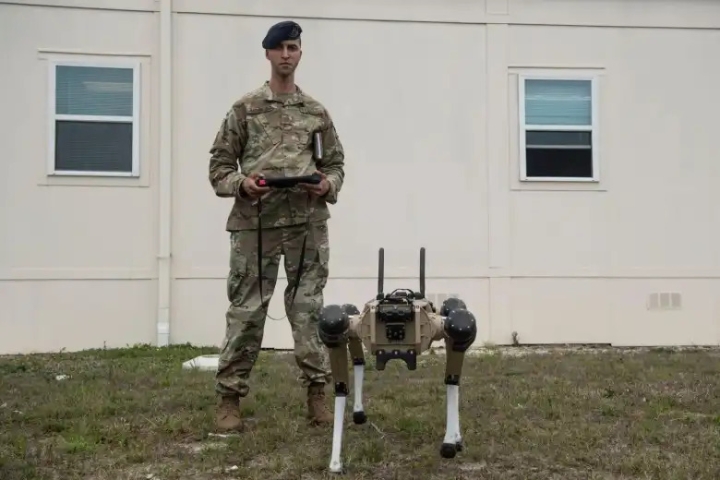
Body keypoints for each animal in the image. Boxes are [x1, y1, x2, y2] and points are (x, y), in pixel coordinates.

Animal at [316, 248, 476, 472]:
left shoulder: (451, 328)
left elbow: (452, 378)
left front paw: (450, 442)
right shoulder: (345, 327)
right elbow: (341, 386)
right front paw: (335, 461)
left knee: (456, 318)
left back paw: (456, 437)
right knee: (356, 356)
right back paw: (358, 411)